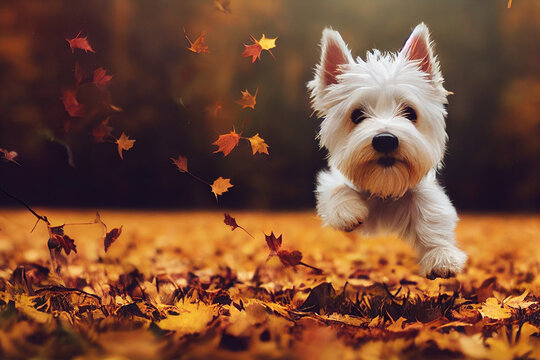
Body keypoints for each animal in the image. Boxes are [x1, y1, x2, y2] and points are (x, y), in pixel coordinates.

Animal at [310, 23, 466, 280]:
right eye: (357, 115)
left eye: (410, 112)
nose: (385, 141)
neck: (384, 187)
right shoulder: (334, 179)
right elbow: (335, 188)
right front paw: (347, 211)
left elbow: (432, 214)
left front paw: (441, 255)